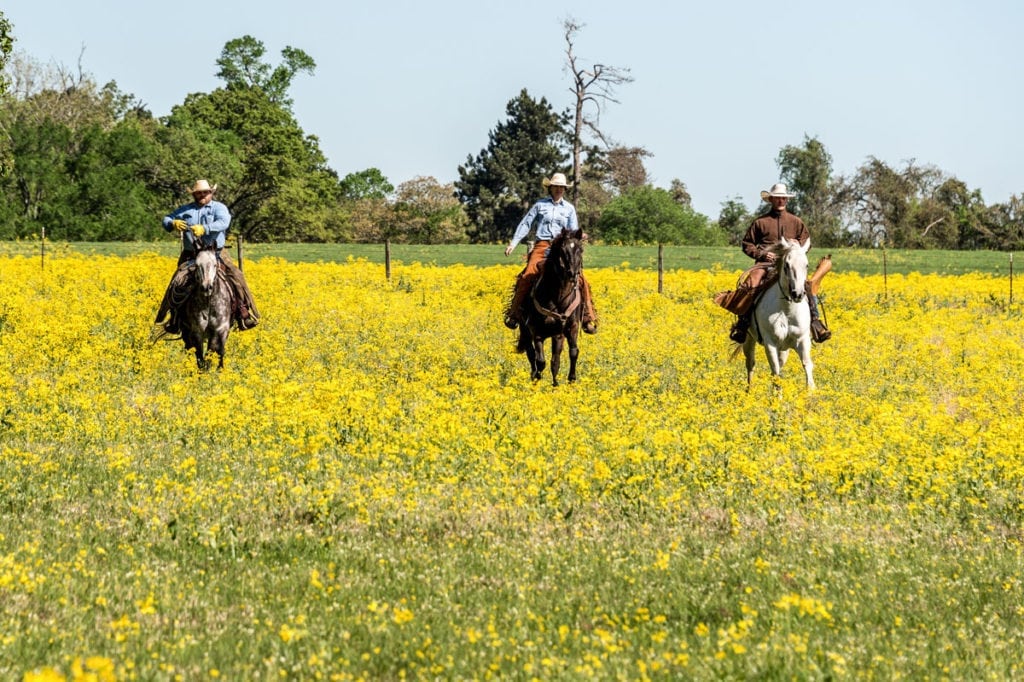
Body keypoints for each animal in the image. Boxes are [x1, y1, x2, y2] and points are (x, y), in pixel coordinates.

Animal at [512, 228, 585, 385]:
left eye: (580, 249)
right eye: (563, 250)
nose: (572, 273)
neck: (557, 297)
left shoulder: (562, 331)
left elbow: (560, 360)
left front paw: (561, 383)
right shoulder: (536, 332)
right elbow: (540, 361)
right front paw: (537, 379)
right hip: (525, 330)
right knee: (531, 353)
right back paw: (534, 376)